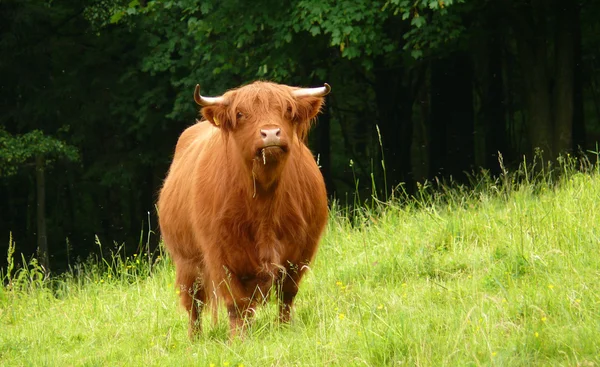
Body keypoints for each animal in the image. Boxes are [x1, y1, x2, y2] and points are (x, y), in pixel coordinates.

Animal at [157, 80, 330, 340]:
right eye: (240, 114)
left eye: (287, 110)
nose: (271, 133)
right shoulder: (221, 253)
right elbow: (236, 302)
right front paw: (238, 339)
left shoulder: (301, 249)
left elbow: (287, 294)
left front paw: (284, 329)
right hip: (187, 261)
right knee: (194, 303)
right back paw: (194, 340)